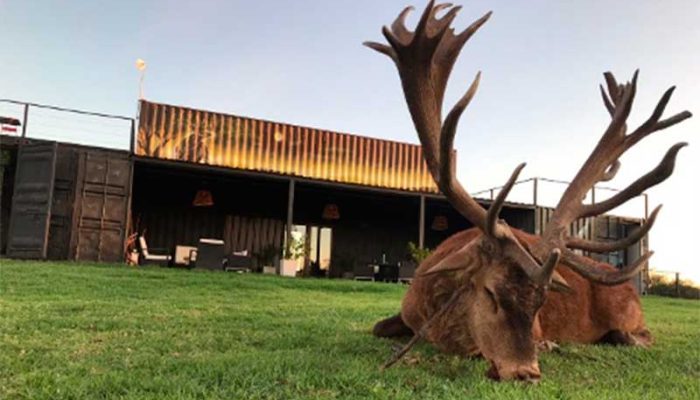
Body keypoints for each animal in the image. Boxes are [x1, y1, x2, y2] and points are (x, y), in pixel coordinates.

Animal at [364, 1, 692, 382]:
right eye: (490, 293)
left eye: (540, 303)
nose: (525, 371)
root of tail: (630, 288)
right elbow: (377, 326)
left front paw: (546, 345)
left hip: (630, 314)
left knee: (638, 335)